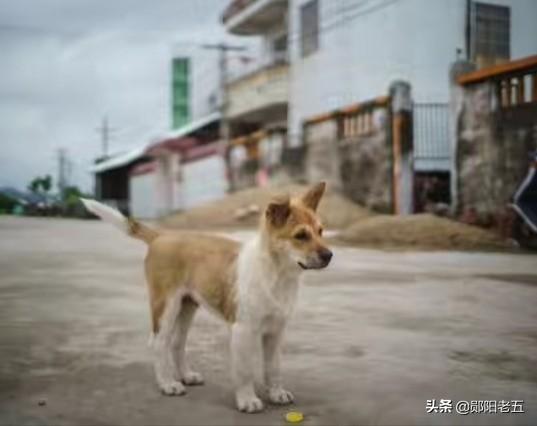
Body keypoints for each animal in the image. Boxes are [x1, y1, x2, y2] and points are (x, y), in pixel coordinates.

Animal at [80, 182, 330, 412]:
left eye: (320, 231)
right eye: (300, 236)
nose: (329, 255)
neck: (275, 274)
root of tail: (161, 236)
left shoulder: (275, 332)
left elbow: (273, 367)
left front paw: (276, 393)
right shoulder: (242, 331)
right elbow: (245, 370)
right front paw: (247, 400)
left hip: (187, 307)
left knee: (177, 343)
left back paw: (186, 375)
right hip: (166, 307)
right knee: (159, 343)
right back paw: (168, 384)